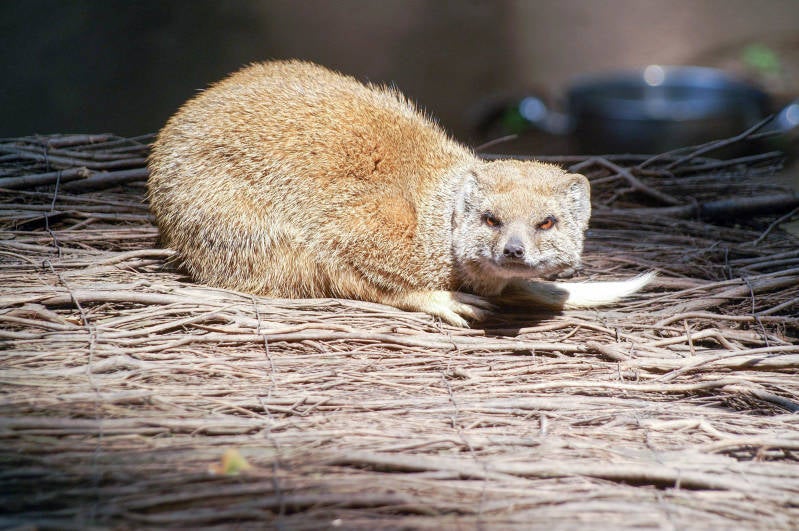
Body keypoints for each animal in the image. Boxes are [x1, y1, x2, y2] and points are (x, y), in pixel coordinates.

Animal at [147, 60, 652, 326]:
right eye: (490, 219)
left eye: (546, 222)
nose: (513, 250)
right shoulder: (355, 226)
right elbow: (360, 277)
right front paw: (441, 299)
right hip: (236, 227)